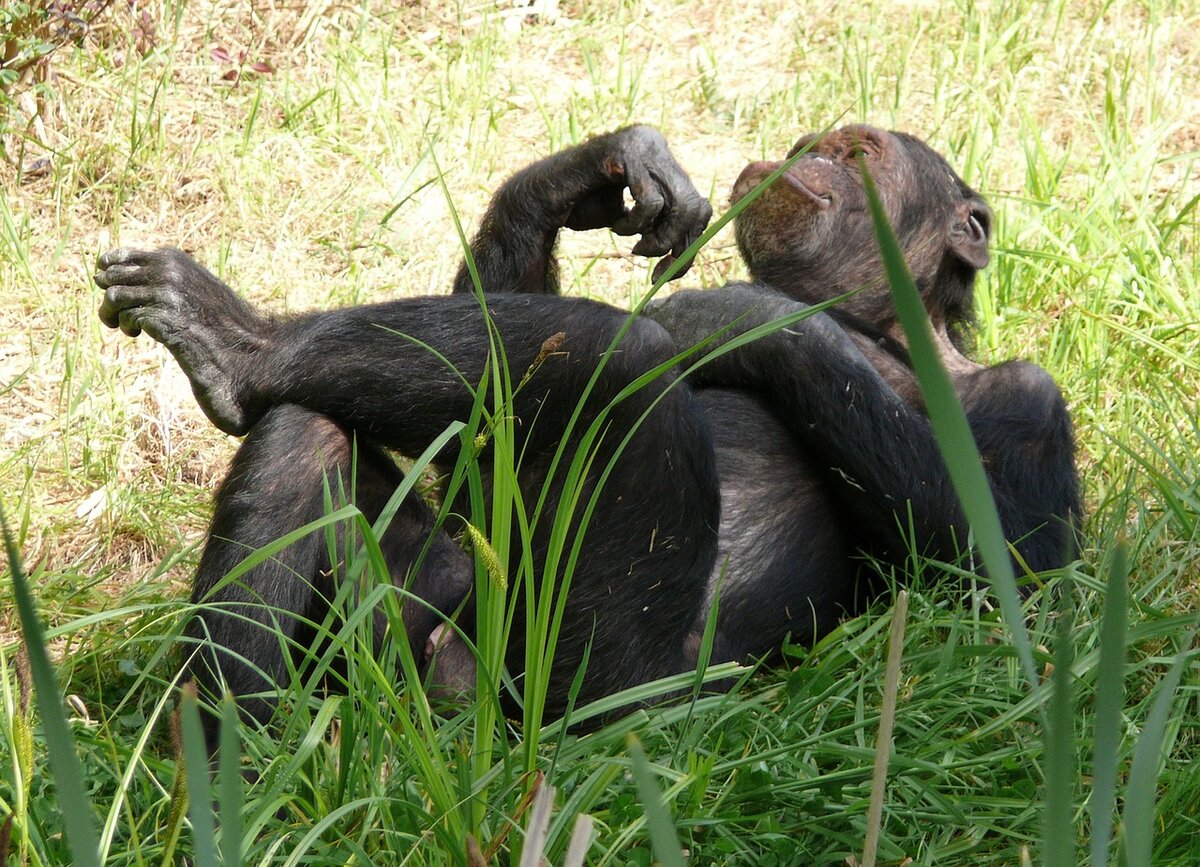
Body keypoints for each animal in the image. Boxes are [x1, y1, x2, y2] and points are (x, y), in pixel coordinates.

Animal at [96, 123, 1080, 734]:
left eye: (858, 150)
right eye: (814, 147)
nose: (808, 161)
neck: (882, 331)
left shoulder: (1033, 403)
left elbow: (1013, 571)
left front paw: (743, 313)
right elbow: (482, 461)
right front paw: (597, 171)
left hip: (589, 690)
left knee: (622, 356)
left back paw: (241, 346)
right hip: (403, 639)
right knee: (309, 429)